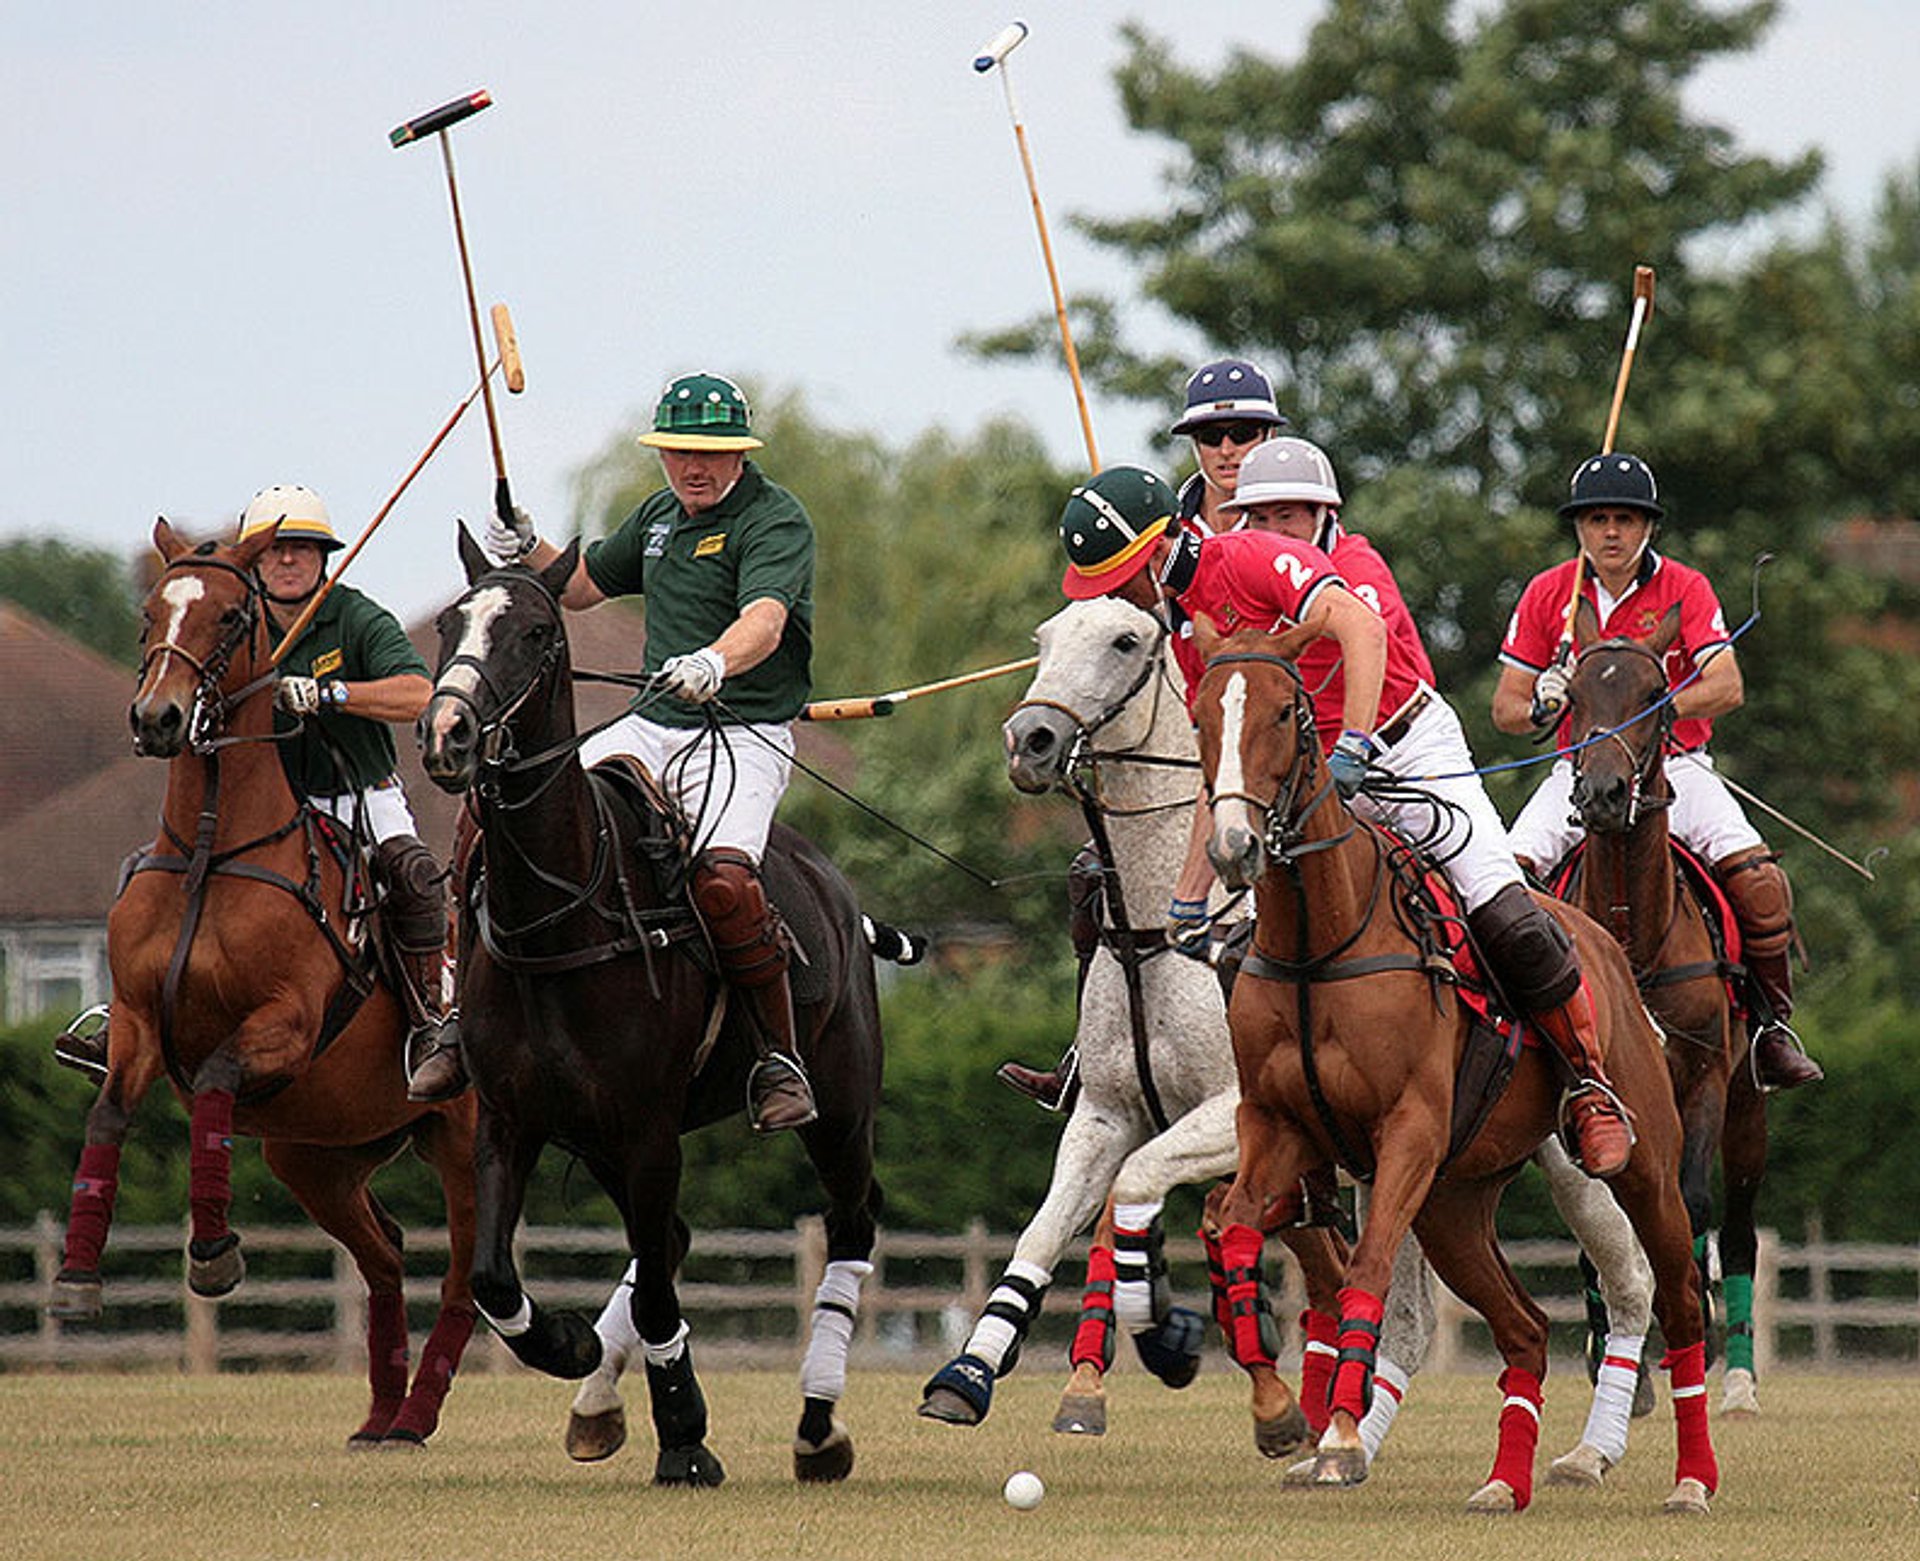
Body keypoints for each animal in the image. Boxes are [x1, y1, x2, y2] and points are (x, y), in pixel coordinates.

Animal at [47, 518, 480, 1443]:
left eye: (230, 617)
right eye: (150, 612)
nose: (159, 718)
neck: (213, 845)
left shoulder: (285, 1024)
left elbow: (214, 1078)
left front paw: (213, 1253)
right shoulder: (138, 1022)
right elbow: (107, 1114)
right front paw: (76, 1278)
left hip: (462, 1140)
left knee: (465, 1278)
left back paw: (416, 1411)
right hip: (315, 1154)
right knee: (385, 1256)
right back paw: (380, 1412)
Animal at [420, 533, 890, 1482]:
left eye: (533, 632)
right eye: (452, 621)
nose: (447, 734)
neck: (560, 912)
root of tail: (833, 886)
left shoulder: (646, 1123)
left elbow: (661, 1296)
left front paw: (683, 1436)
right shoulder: (512, 1118)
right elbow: (493, 1276)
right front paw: (568, 1348)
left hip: (840, 1106)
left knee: (849, 1226)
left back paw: (818, 1427)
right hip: (600, 1133)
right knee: (664, 1241)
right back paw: (596, 1399)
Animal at [1190, 622, 1720, 1512]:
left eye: (1286, 711)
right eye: (1199, 717)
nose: (1233, 846)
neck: (1317, 942)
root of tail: (1607, 946)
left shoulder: (1408, 1126)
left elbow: (1366, 1264)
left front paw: (1339, 1438)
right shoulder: (1279, 1126)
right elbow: (1231, 1229)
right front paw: (1278, 1415)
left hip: (1644, 1164)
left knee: (1676, 1299)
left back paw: (1690, 1477)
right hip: (1454, 1203)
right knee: (1526, 1328)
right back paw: (1505, 1481)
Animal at [1559, 602, 1766, 1420]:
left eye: (1657, 693)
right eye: (1572, 694)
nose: (1604, 793)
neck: (1630, 931)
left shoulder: (1703, 1074)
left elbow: (1692, 1201)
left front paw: (1692, 1332)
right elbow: (1602, 1226)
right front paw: (1616, 1358)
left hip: (1748, 1100)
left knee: (1737, 1223)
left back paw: (1737, 1377)